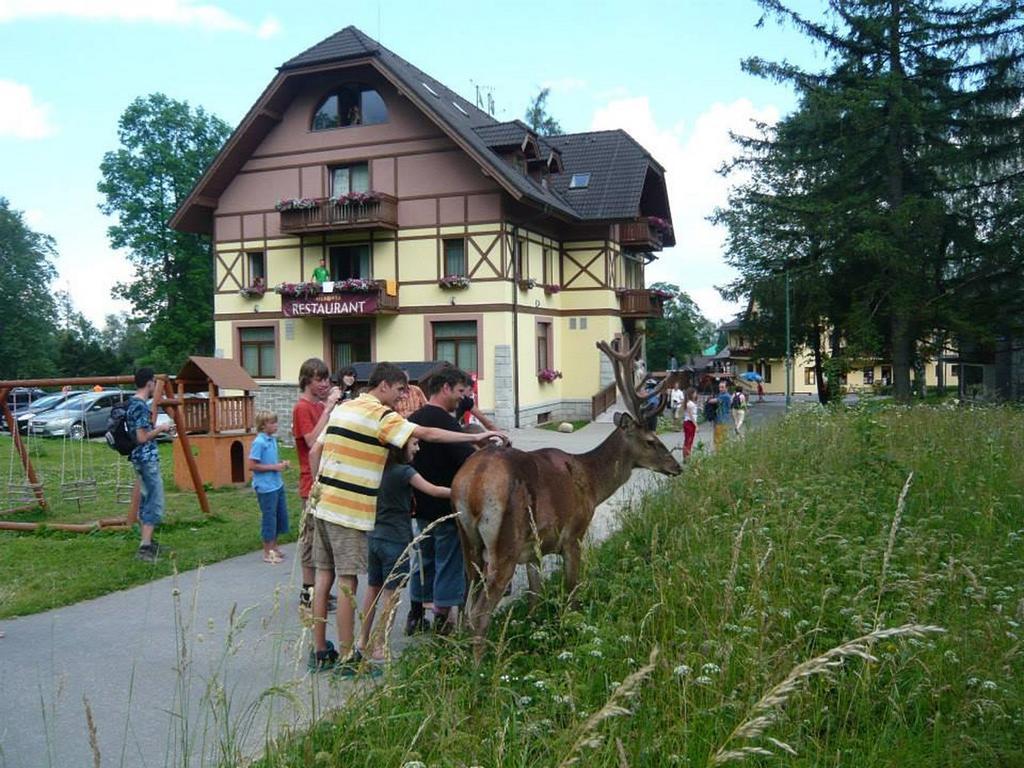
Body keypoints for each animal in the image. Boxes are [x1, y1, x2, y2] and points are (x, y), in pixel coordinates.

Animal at [454, 339, 679, 659]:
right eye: (651, 441)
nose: (677, 466)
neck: (591, 485)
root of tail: (472, 484)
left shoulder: (533, 550)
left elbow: (535, 595)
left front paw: (535, 631)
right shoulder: (573, 534)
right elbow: (572, 589)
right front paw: (571, 631)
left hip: (468, 544)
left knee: (464, 605)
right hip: (504, 542)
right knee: (480, 612)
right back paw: (480, 666)